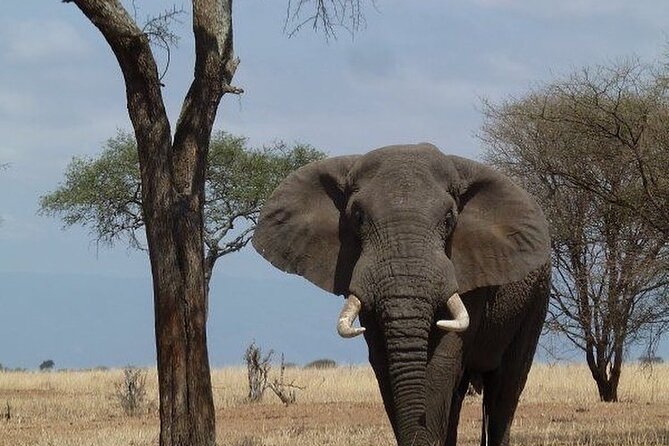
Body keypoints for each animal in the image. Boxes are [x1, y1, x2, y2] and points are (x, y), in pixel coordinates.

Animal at [252, 143, 550, 446]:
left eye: (449, 219)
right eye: (358, 218)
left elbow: (441, 362)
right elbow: (385, 362)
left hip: (536, 298)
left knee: (506, 387)